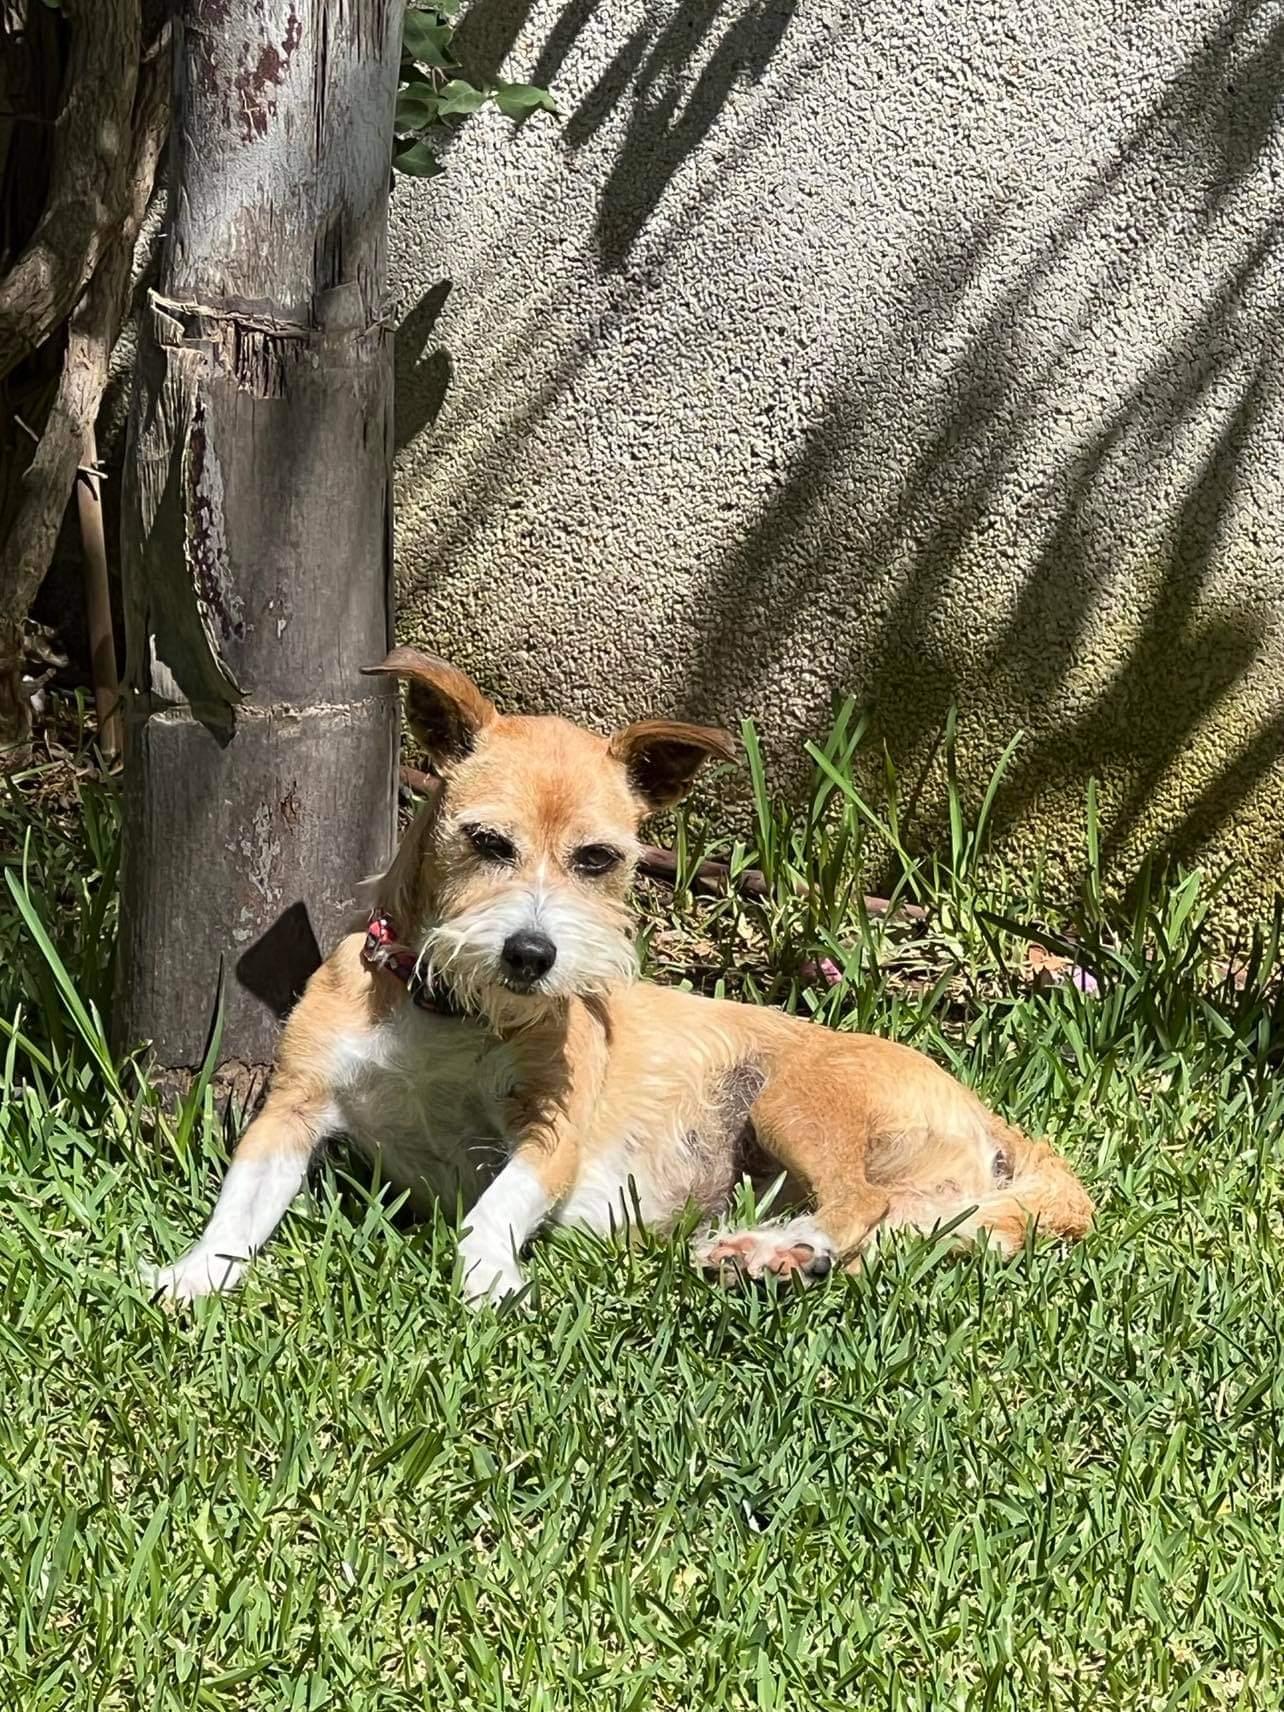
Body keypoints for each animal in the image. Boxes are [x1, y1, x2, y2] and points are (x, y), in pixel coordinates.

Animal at [144, 649, 1094, 1305]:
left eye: (599, 859)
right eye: (487, 841)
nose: (531, 955)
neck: (446, 1012)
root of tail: (989, 1119)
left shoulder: (552, 1129)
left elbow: (493, 1212)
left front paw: (487, 1277)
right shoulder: (291, 1111)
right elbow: (238, 1210)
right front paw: (191, 1276)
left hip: (791, 1100)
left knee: (859, 1206)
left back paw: (771, 1251)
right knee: (898, 1228)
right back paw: (774, 1250)